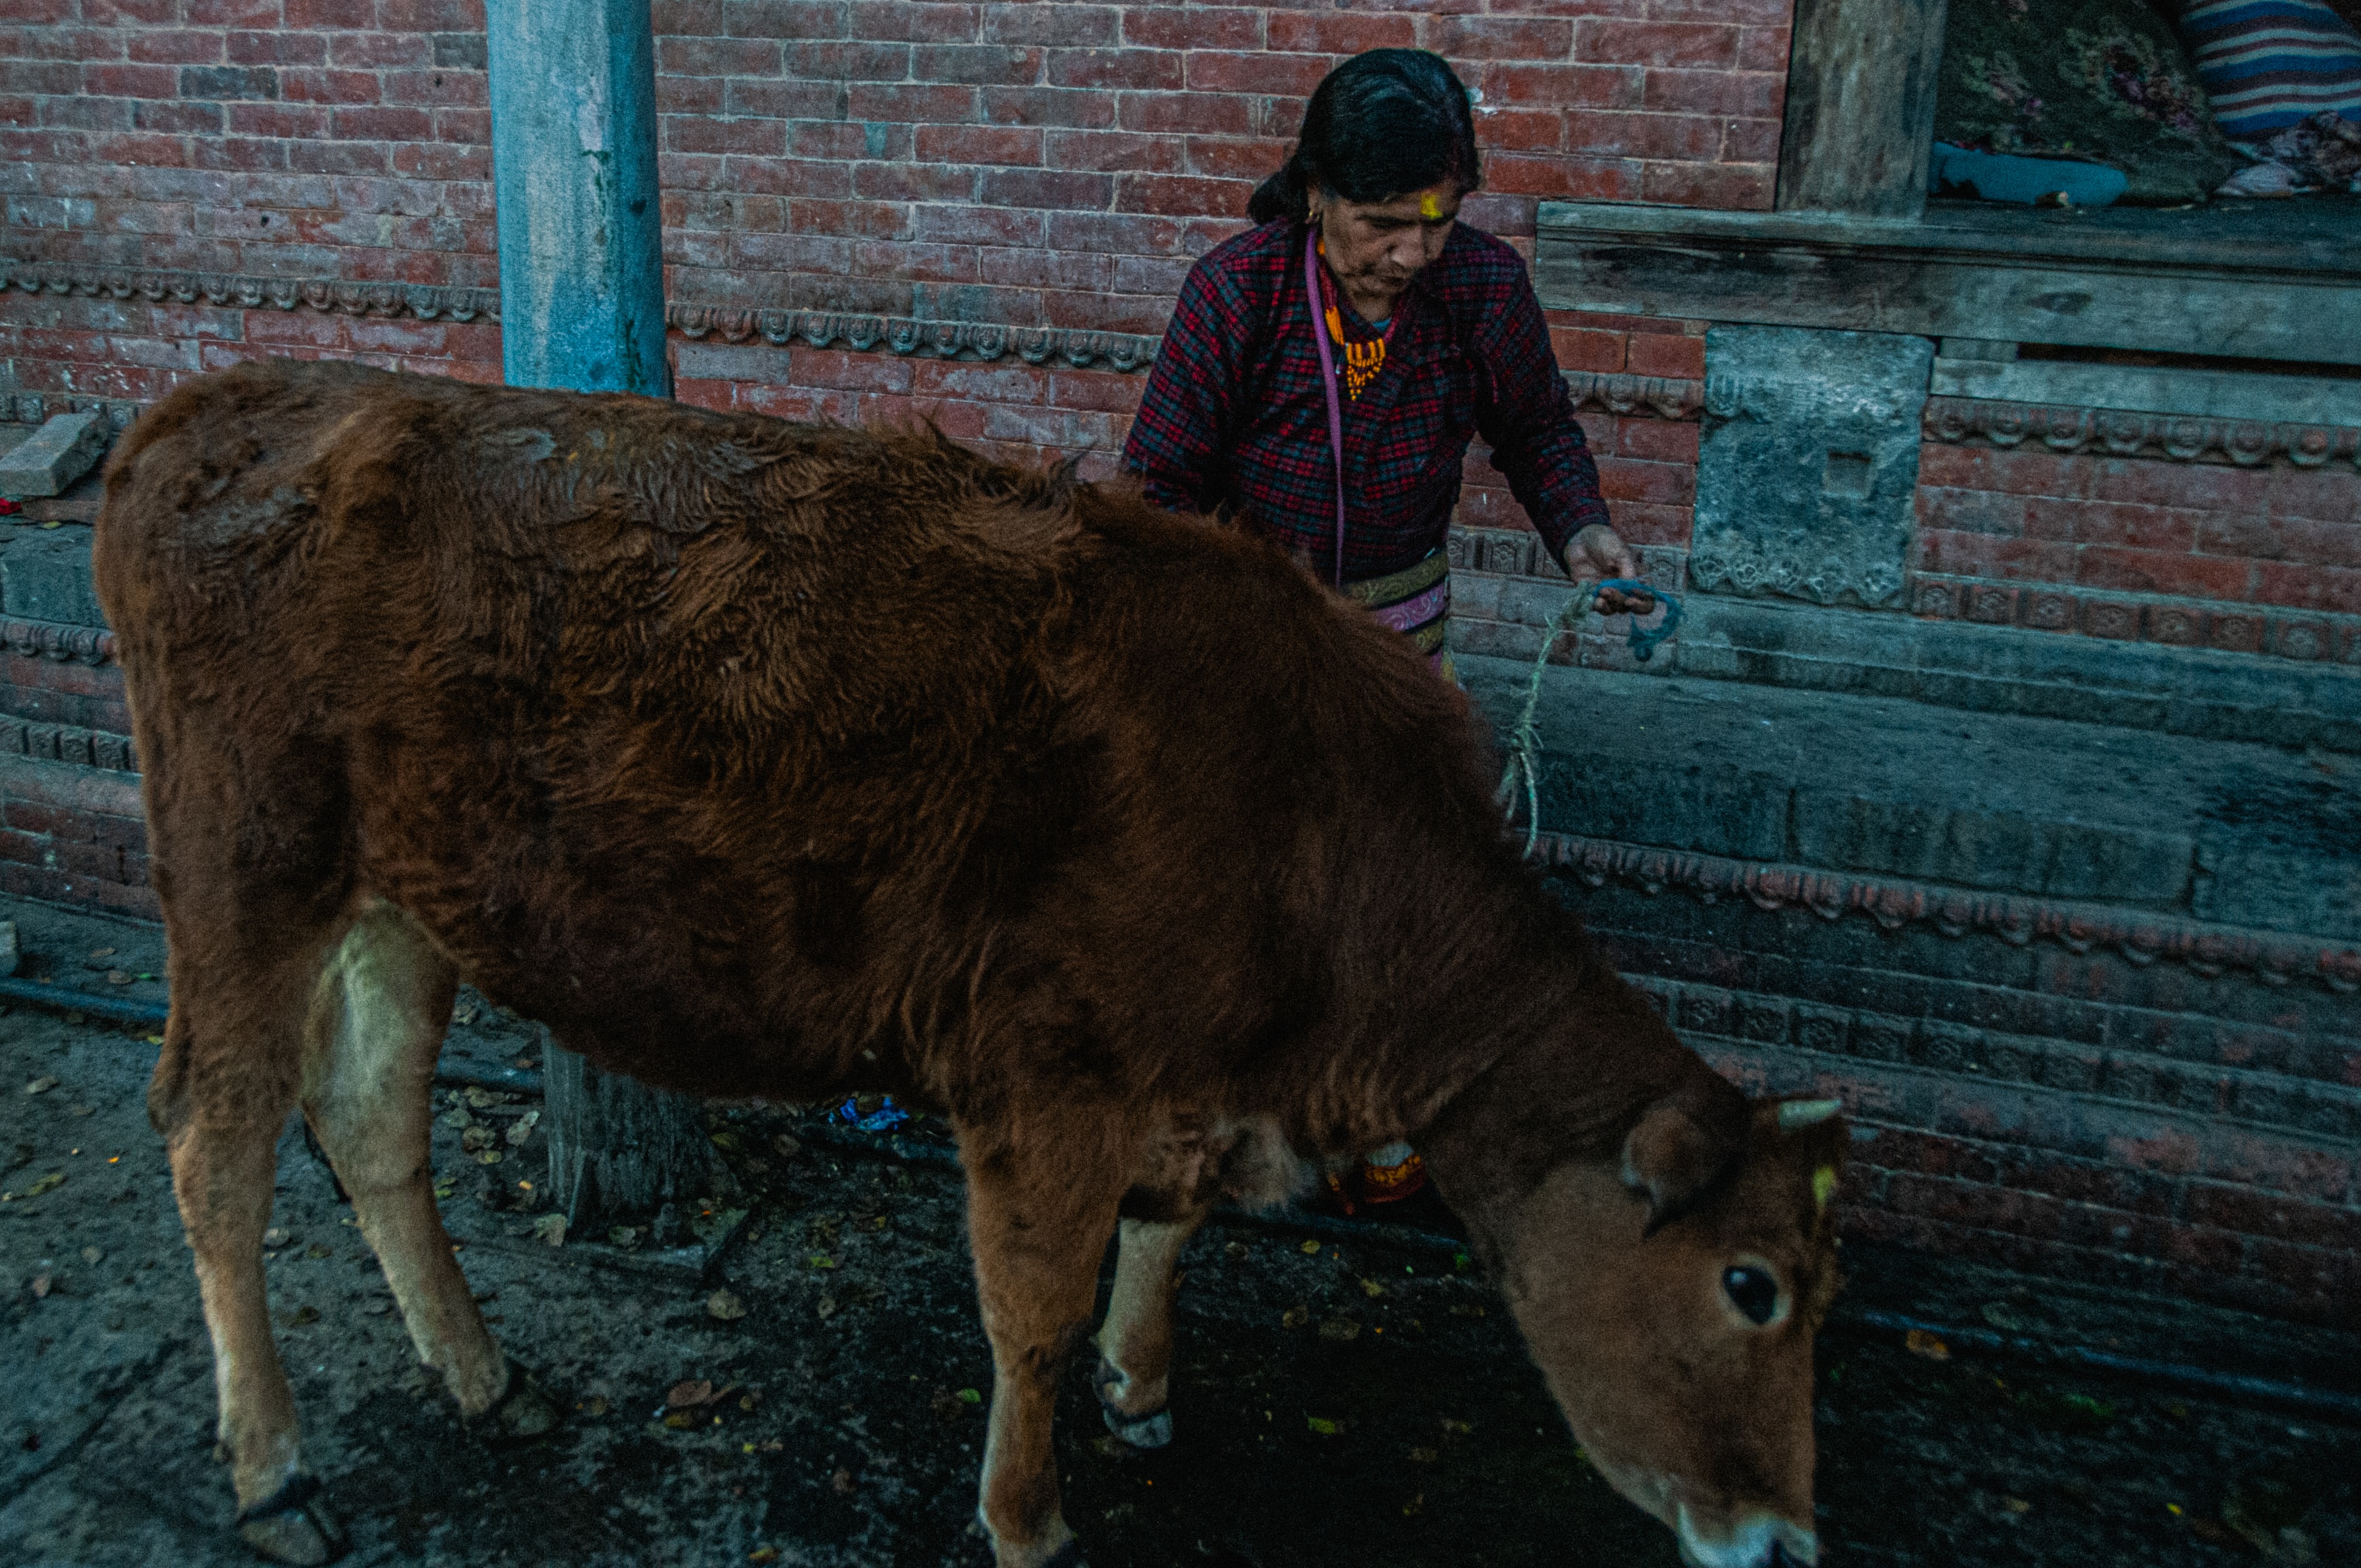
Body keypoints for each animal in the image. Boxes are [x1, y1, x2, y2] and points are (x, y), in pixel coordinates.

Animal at [93, 357, 1846, 1568]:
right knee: (213, 1137)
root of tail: (225, 399)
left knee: (371, 1118)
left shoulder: (1170, 1081)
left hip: (402, 899)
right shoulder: (1044, 1076)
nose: (1785, 1542)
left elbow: (1162, 1244)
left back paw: (487, 1378)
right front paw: (1027, 1517)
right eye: (1748, 1285)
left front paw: (1142, 1389)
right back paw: (276, 1473)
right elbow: (1031, 1313)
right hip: (242, 866)